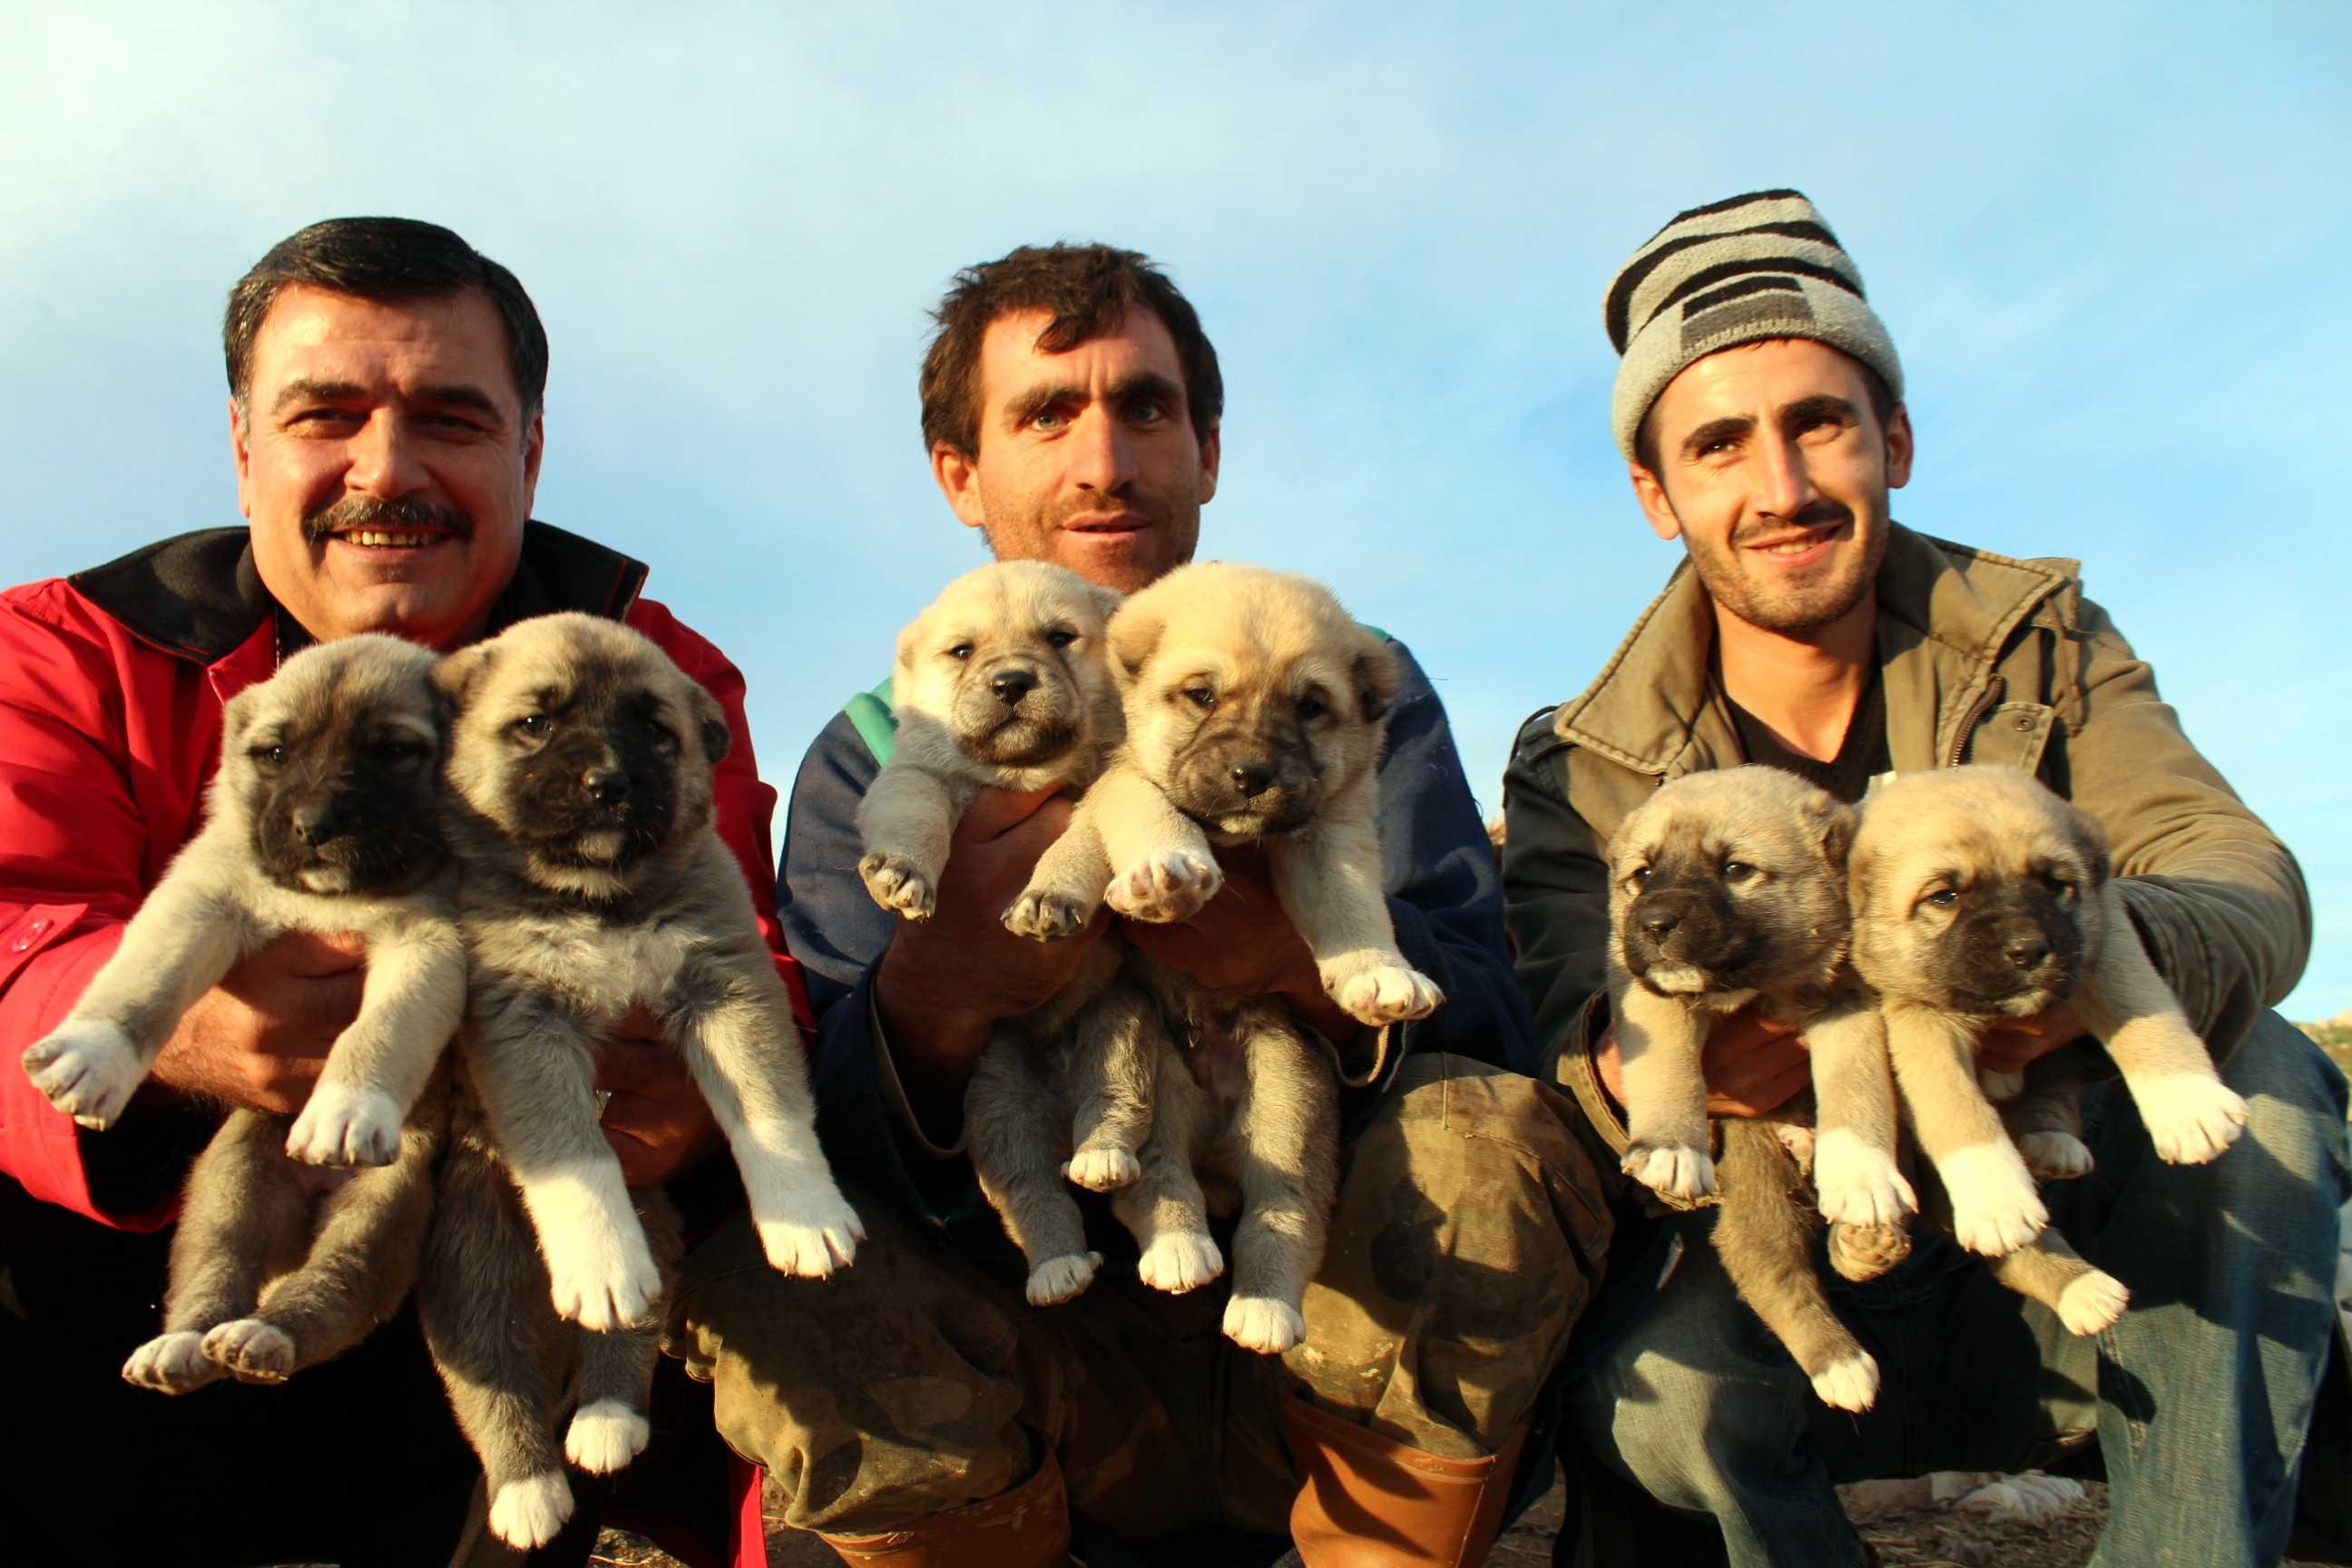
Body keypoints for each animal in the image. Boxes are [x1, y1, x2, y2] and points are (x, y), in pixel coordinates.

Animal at [1002, 566, 1420, 1363]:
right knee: (1156, 1181)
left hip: (1289, 1100)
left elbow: (1351, 908)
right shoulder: (1120, 778)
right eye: (1201, 695)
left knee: (1283, 1215)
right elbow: (1136, 816)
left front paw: (1377, 972)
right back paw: (1180, 1249)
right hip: (1158, 1081)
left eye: (1311, 707)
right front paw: (1159, 870)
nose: (1252, 774)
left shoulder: (1331, 831)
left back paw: (1263, 1308)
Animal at [1608, 766, 1919, 1419]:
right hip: (1758, 1184)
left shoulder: (1850, 1001)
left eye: (1735, 869)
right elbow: (1666, 1066)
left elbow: (1855, 1083)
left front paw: (1862, 1175)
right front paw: (1674, 1150)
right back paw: (1841, 1364)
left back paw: (1865, 1247)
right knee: (1768, 1267)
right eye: (1642, 874)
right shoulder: (1648, 991)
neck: (1759, 985)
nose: (1654, 924)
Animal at [1844, 766, 2230, 1335]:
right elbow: (1956, 1107)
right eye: (1944, 896)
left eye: (2054, 884)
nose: (2028, 951)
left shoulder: (2104, 942)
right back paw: (2085, 1290)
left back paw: (2052, 1144)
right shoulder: (1916, 1019)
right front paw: (1996, 1197)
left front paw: (2187, 1105)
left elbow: (2144, 1012)